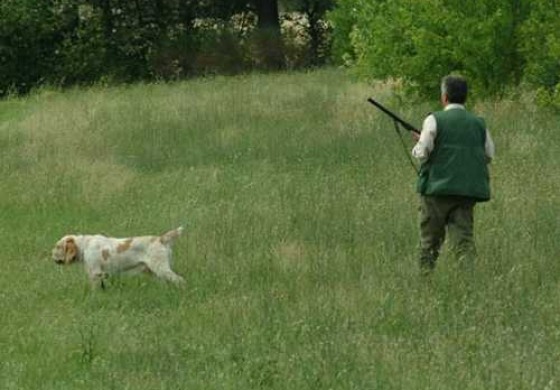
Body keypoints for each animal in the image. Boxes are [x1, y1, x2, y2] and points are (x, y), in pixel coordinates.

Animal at [51, 227, 185, 288]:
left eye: (58, 246)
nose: (51, 255)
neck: (85, 245)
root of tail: (161, 239)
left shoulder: (95, 273)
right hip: (155, 272)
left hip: (162, 269)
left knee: (180, 280)